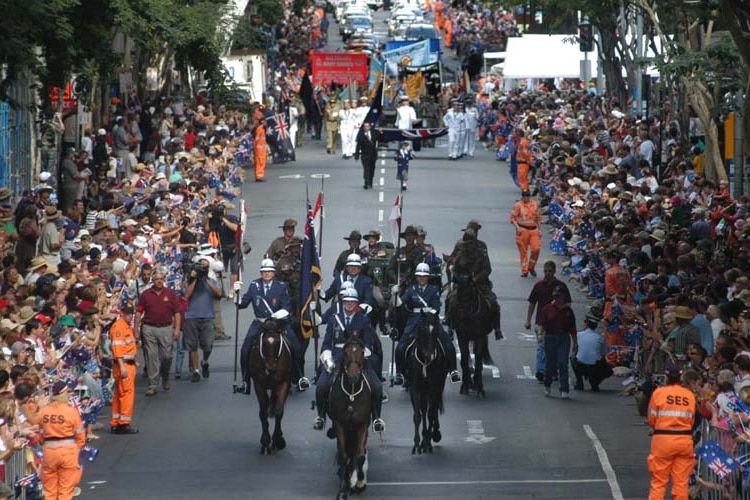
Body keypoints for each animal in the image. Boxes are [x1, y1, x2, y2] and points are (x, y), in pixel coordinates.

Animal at [248, 318, 292, 456]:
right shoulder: (258, 384)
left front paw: (277, 440)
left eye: (277, 342)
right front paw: (265, 441)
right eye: (265, 343)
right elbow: (263, 413)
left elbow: (279, 411)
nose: (270, 366)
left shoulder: (284, 383)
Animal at [332, 332, 374, 500]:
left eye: (362, 352)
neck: (351, 393)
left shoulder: (362, 424)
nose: (353, 376)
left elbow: (360, 456)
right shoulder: (340, 425)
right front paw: (343, 488)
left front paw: (360, 483)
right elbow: (344, 455)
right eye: (345, 351)